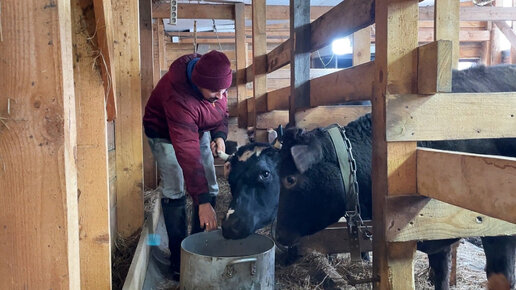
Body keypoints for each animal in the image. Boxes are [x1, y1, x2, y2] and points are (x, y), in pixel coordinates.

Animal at [222, 64, 516, 288]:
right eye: (231, 180)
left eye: (284, 178)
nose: (280, 233)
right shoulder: (435, 237)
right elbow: (441, 278)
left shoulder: (495, 230)